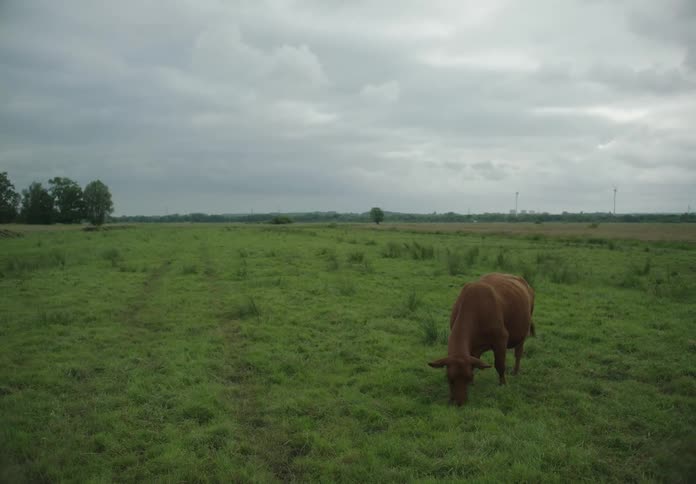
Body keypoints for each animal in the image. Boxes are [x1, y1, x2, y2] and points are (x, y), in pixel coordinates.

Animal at [428, 273, 535, 405]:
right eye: (449, 379)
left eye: (468, 378)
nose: (460, 402)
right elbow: (474, 361)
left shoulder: (501, 339)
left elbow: (500, 365)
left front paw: (503, 384)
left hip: (523, 332)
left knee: (518, 352)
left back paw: (515, 371)